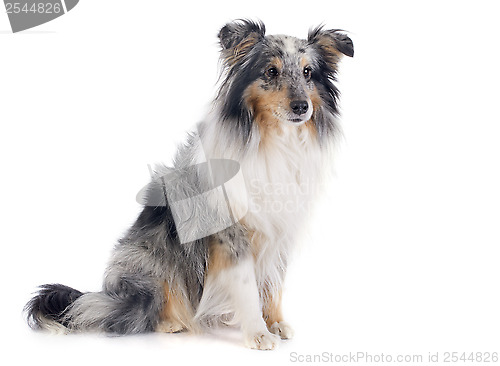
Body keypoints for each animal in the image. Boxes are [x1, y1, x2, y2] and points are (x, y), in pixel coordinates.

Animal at [23, 19, 352, 348]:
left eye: (308, 72)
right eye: (271, 71)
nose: (302, 107)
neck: (273, 140)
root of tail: (111, 294)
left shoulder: (281, 229)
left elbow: (274, 282)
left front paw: (276, 323)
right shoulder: (231, 234)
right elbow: (246, 286)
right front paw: (258, 333)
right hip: (151, 260)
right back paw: (171, 322)